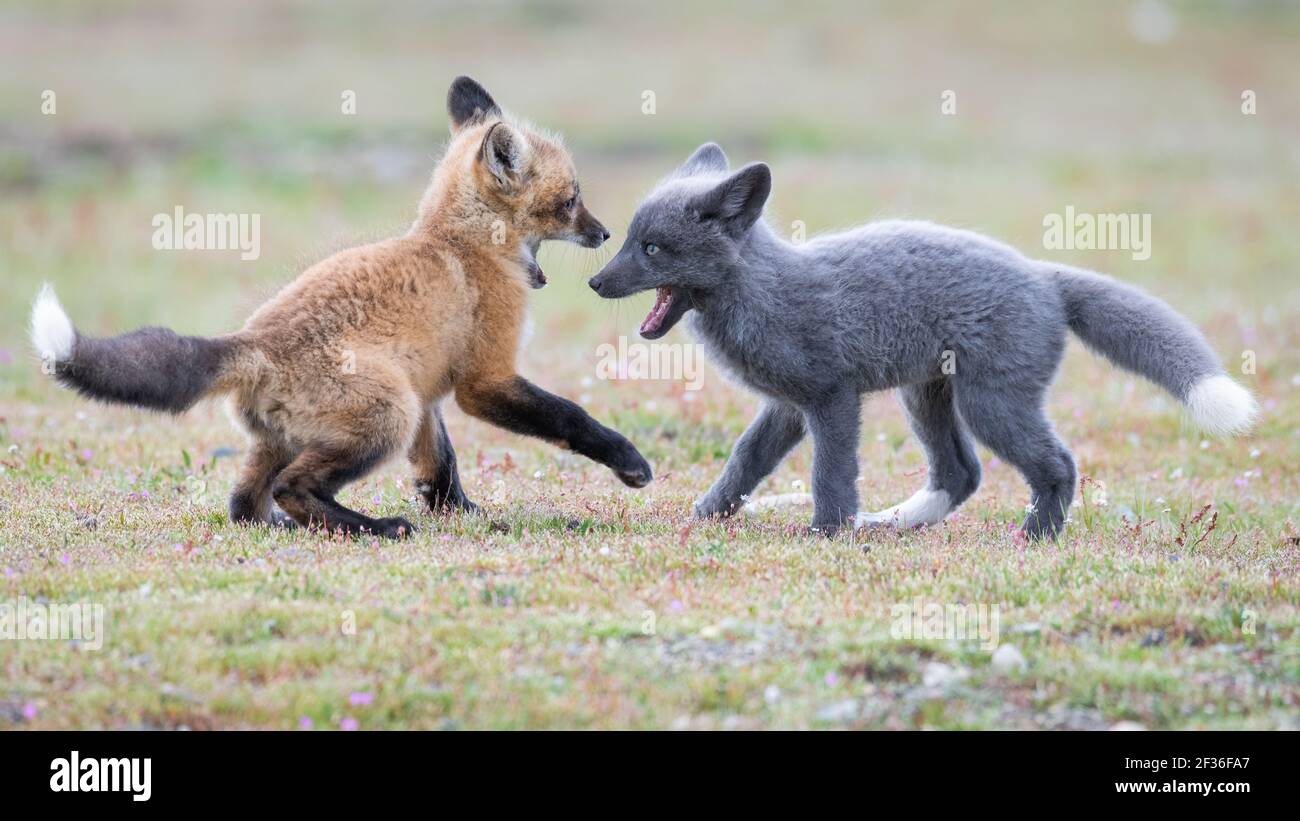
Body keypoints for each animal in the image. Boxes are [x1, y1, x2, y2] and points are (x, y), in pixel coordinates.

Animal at [29, 76, 652, 539]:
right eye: (571, 200)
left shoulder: (427, 395)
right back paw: (376, 528)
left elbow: (442, 470)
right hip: (386, 415)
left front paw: (467, 518)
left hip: (305, 432)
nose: (604, 232)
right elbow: (568, 417)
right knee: (294, 489)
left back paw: (289, 527)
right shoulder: (482, 381)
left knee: (243, 504)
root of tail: (253, 343)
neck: (460, 246)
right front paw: (628, 462)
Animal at [587, 142, 1257, 539]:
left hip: (991, 407)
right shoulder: (786, 406)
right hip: (927, 397)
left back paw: (1036, 536)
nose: (594, 282)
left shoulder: (831, 399)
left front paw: (825, 534)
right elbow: (744, 462)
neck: (762, 293)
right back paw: (893, 523)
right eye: (631, 241)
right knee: (961, 475)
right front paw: (706, 515)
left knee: (1056, 465)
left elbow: (831, 475)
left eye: (652, 249)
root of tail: (1044, 275)